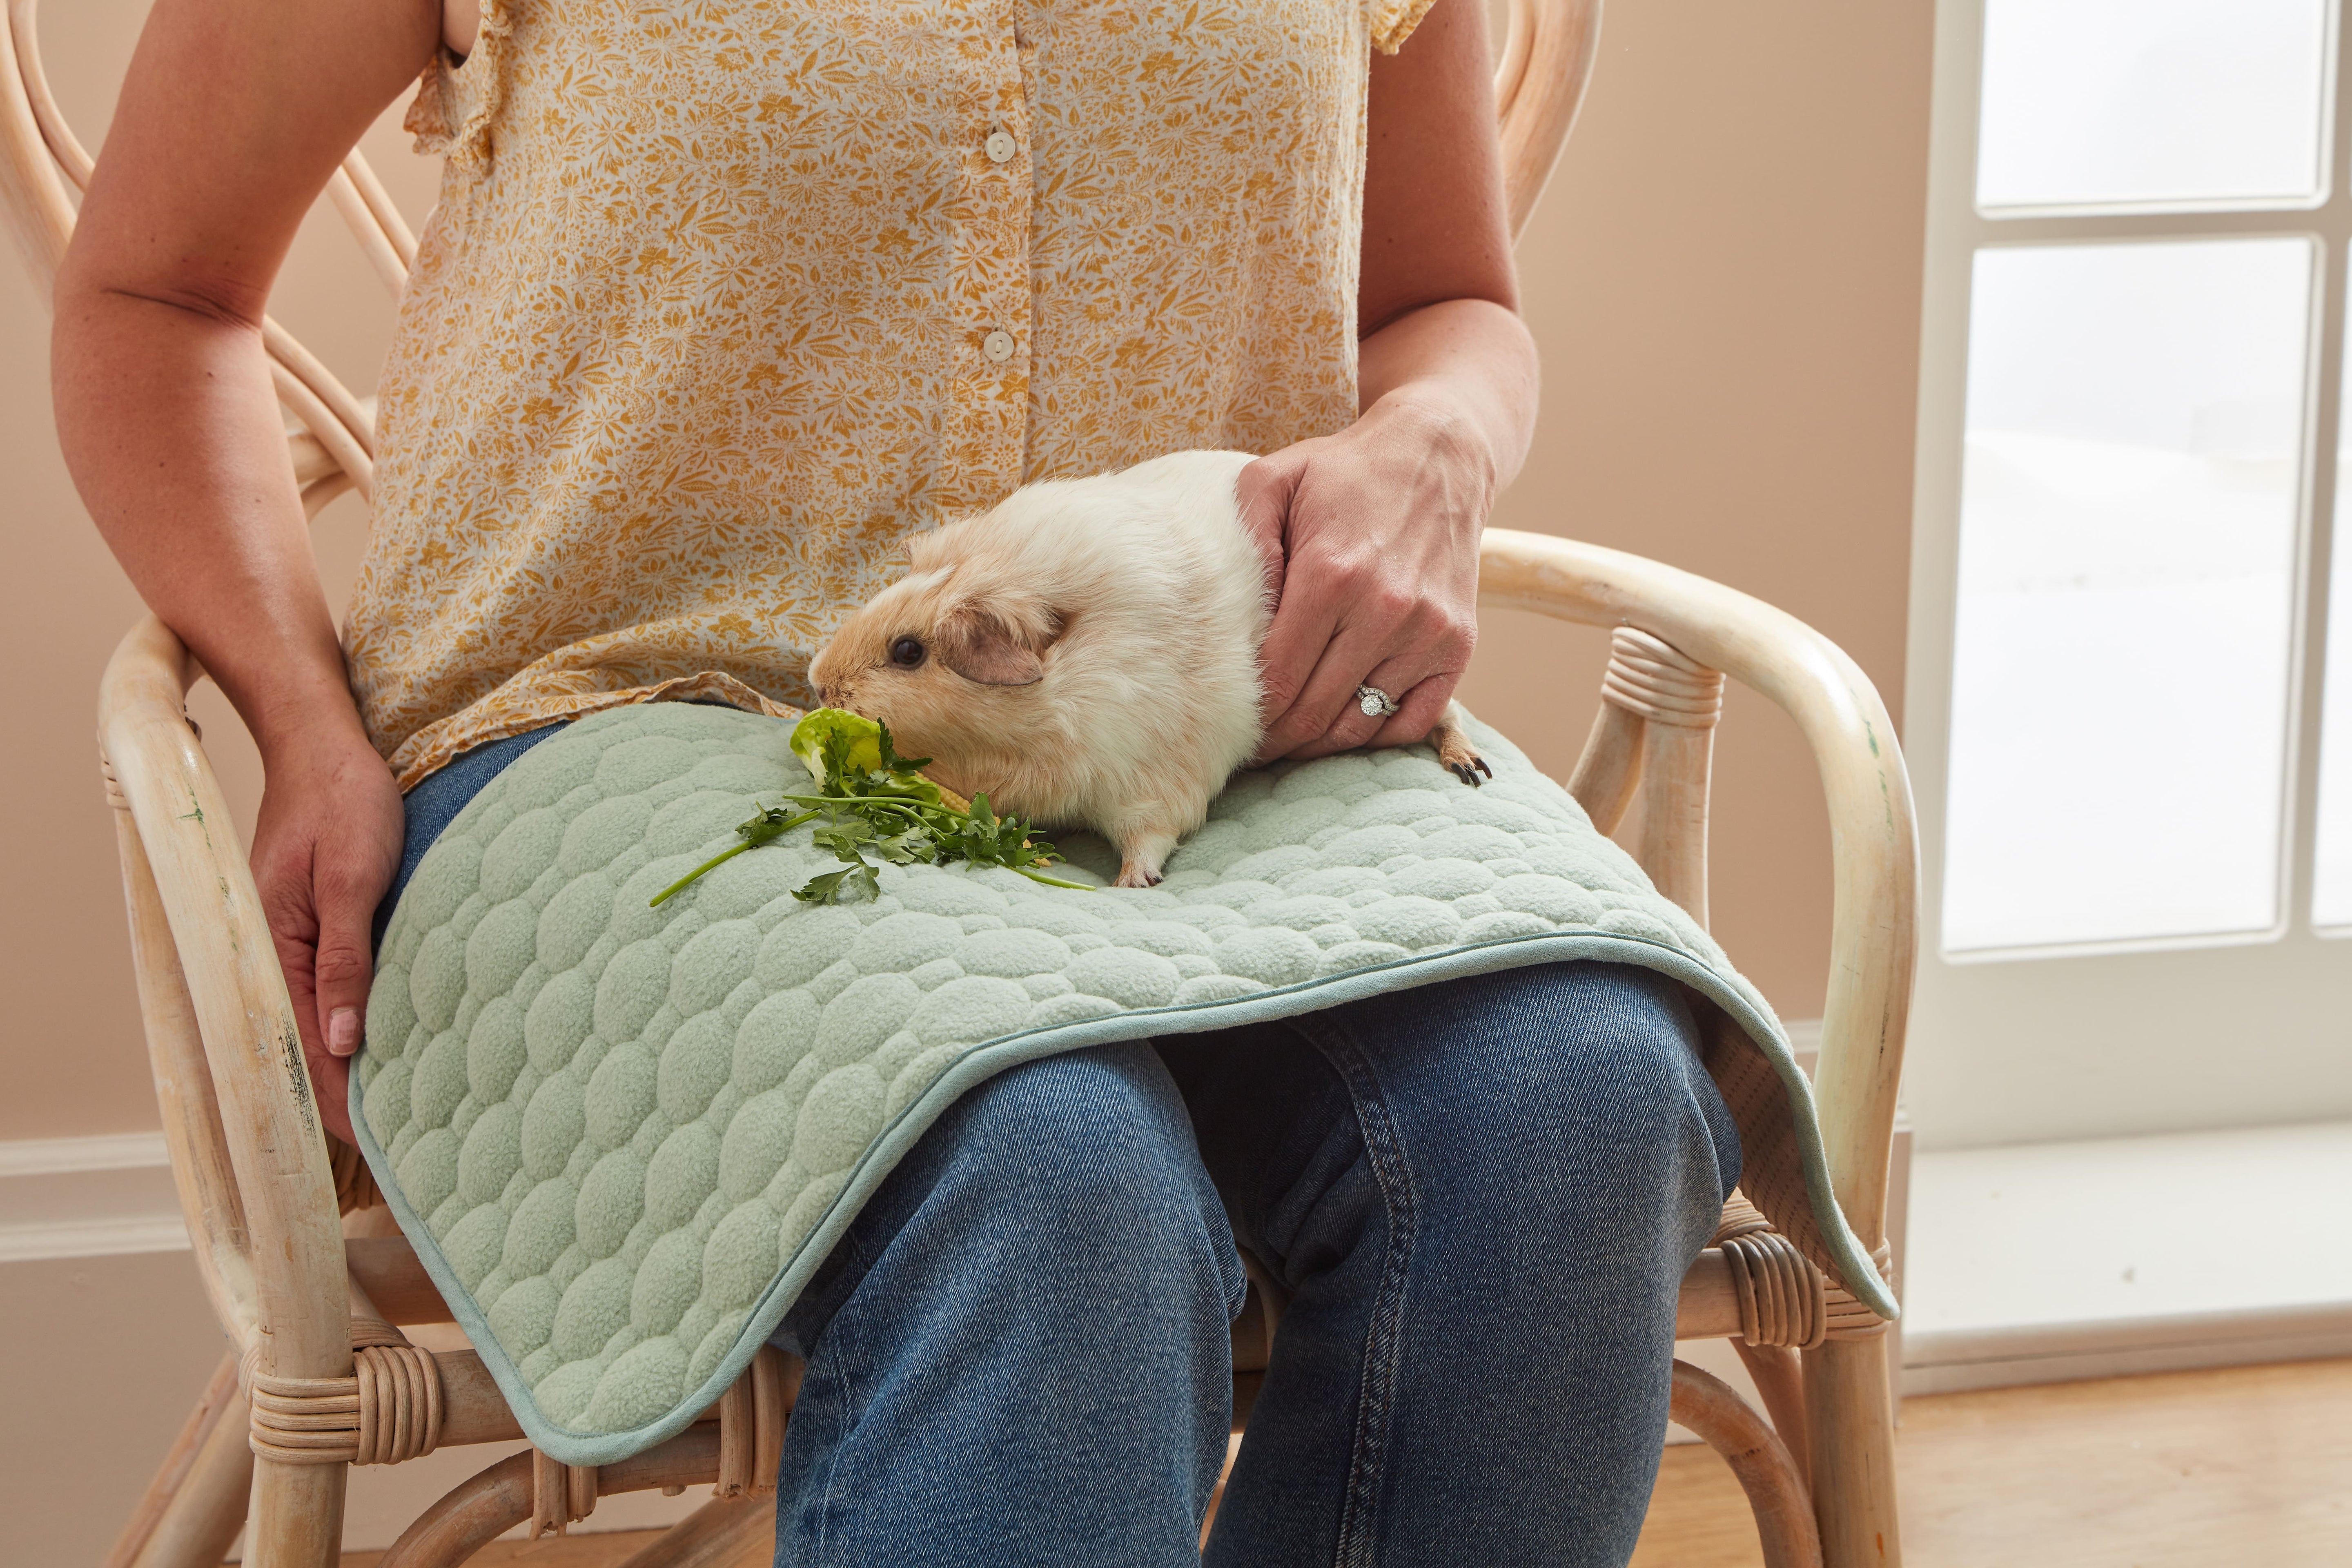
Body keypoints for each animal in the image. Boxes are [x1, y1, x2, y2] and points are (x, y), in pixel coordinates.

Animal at [806, 449, 1488, 888]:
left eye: (908, 652)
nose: (819, 685)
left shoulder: (1154, 783)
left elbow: (1151, 836)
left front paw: (1132, 884)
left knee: (1448, 716)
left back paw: (1471, 769)